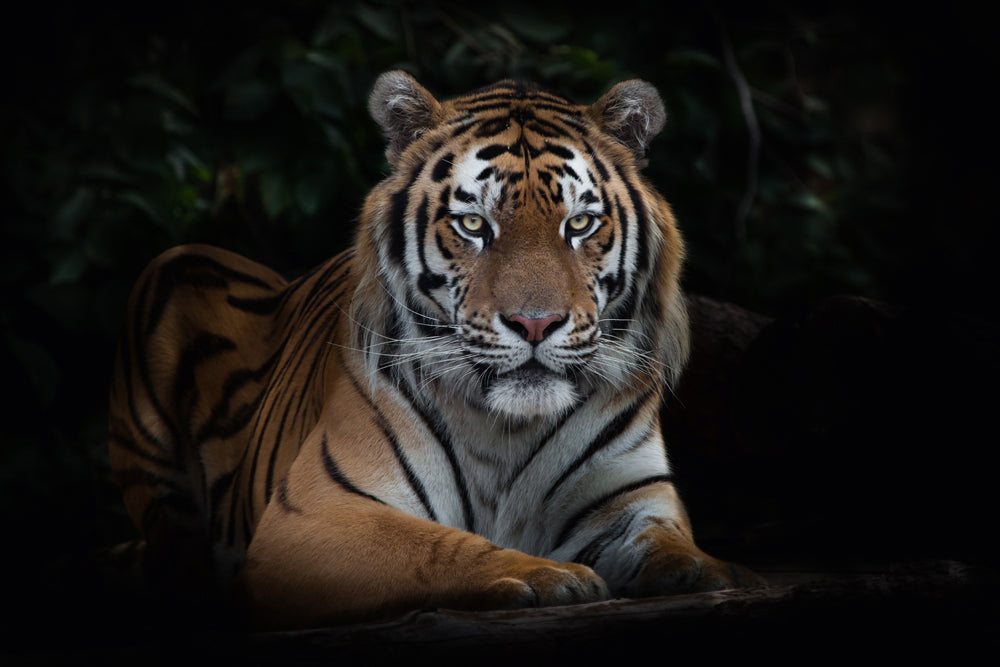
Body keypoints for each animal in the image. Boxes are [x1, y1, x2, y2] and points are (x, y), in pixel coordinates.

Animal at [108, 71, 764, 630]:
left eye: (579, 225)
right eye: (474, 226)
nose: (535, 323)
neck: (509, 430)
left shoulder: (632, 501)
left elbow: (672, 546)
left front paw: (716, 572)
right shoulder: (315, 514)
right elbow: (435, 546)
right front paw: (546, 575)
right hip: (175, 266)